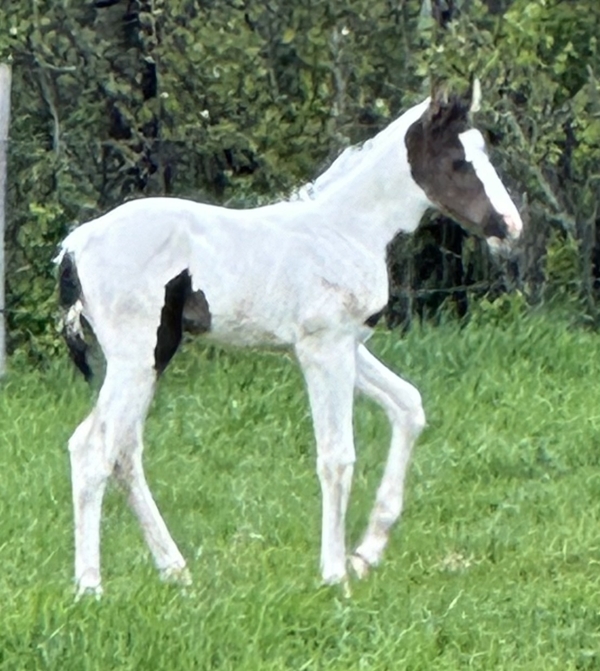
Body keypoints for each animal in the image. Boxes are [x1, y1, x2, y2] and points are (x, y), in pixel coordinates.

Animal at [56, 82, 523, 597]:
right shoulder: (324, 348)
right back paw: (90, 587)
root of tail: (75, 245)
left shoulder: (346, 345)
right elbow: (337, 456)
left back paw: (175, 569)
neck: (345, 230)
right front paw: (335, 575)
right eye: (458, 161)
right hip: (137, 358)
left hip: (151, 358)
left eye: (483, 151)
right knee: (93, 449)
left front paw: (367, 552)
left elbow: (408, 406)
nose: (510, 227)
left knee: (122, 451)